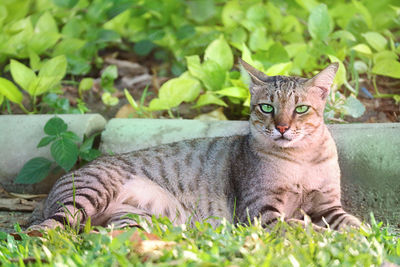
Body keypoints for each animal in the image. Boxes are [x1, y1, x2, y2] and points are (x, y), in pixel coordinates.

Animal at [29, 59, 362, 231]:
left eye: (301, 109)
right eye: (267, 108)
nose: (281, 127)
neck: (302, 160)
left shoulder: (328, 205)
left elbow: (352, 222)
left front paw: (360, 235)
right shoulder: (260, 212)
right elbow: (305, 228)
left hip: (134, 221)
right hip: (89, 194)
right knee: (46, 229)